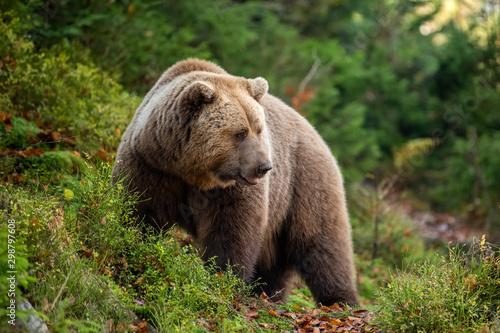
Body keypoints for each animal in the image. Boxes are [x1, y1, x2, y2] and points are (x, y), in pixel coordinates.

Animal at [111, 58, 358, 304]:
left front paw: (223, 278)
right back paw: (268, 294)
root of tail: (319, 137)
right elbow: (139, 210)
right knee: (276, 264)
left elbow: (233, 229)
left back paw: (341, 301)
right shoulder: (153, 166)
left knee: (323, 247)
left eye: (259, 129)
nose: (264, 167)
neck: (193, 172)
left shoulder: (231, 189)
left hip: (304, 184)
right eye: (240, 132)